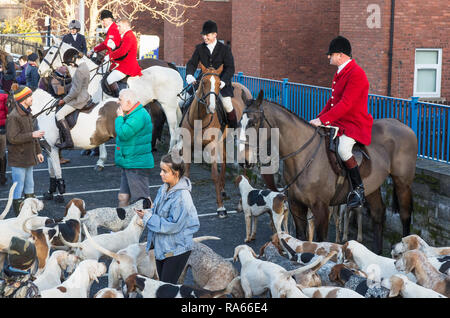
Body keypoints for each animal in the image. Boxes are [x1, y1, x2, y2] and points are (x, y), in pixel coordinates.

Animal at [177, 64, 253, 219]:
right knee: (223, 160)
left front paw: (221, 208)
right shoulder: (187, 146)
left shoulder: (211, 146)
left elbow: (214, 176)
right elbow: (186, 175)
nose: (211, 107)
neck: (200, 118)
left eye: (218, 84)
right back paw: (223, 189)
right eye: (203, 82)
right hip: (224, 140)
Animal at [239, 90, 418, 255]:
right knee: (378, 214)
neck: (304, 155)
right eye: (240, 122)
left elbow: (320, 241)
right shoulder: (297, 206)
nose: (244, 160)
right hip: (372, 187)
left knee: (405, 215)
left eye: (254, 122)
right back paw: (377, 252)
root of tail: (400, 123)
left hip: (402, 183)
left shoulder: (321, 209)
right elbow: (302, 237)